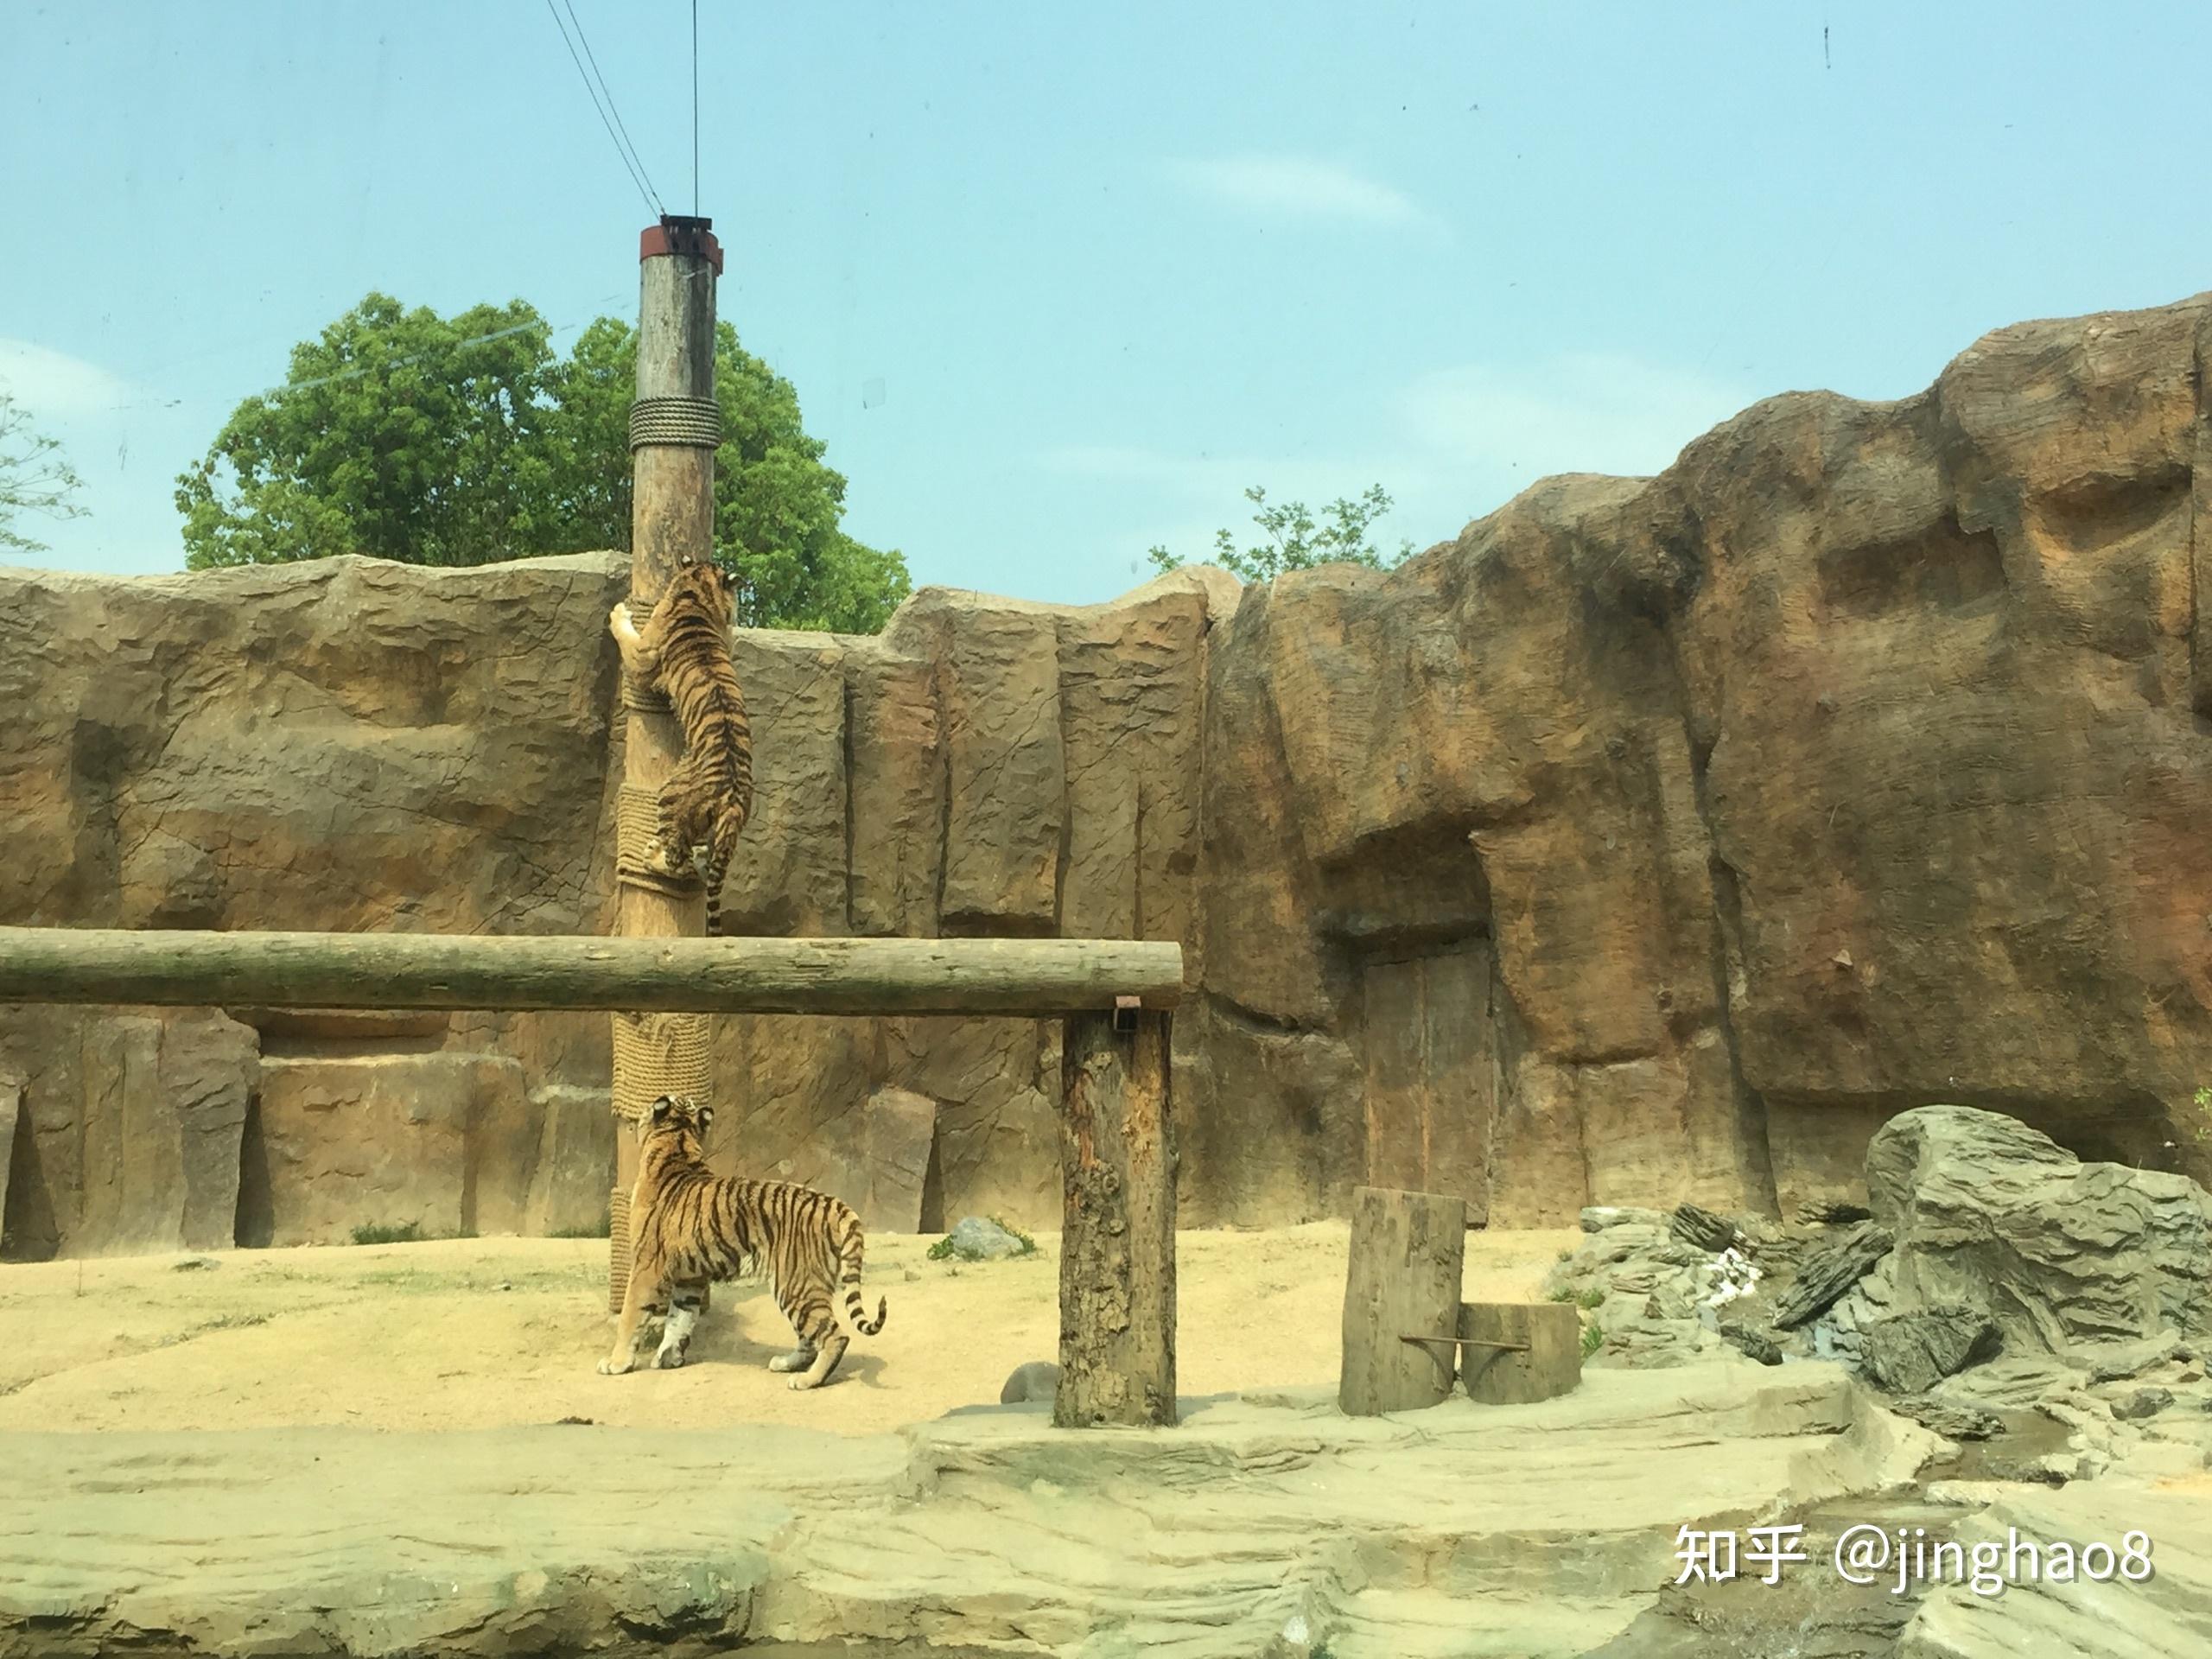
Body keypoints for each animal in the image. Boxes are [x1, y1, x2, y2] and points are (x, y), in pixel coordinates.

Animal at [606, 1092, 889, 1389]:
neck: (678, 1140)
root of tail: (834, 1204)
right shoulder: (690, 1278)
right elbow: (680, 1318)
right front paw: (668, 1358)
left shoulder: (646, 1268)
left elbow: (630, 1316)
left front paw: (616, 1363)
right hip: (802, 1287)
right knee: (810, 1338)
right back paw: (786, 1364)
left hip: (796, 1285)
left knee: (835, 1336)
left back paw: (807, 1380)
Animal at [610, 559, 756, 942]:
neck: (697, 594)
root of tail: (733, 801)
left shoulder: (644, 656)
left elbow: (628, 641)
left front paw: (618, 614)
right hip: (728, 830)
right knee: (709, 863)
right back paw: (703, 861)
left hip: (672, 796)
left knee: (678, 858)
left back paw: (653, 856)